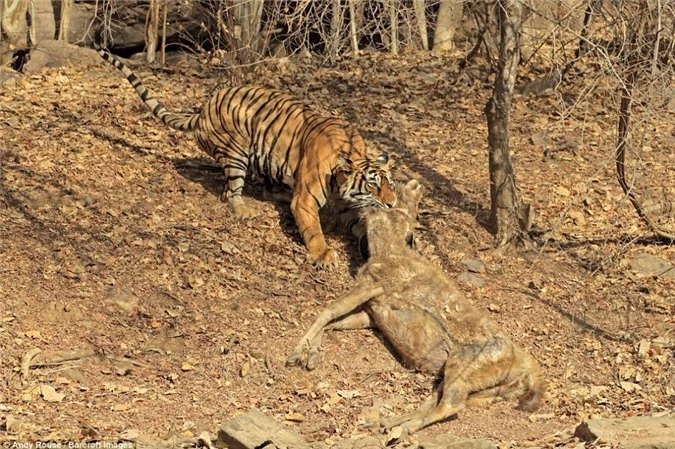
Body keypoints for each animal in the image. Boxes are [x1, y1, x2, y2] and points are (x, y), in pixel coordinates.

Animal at [95, 47, 396, 268]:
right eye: (373, 185)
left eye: (389, 184)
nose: (392, 204)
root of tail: (203, 108)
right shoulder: (306, 199)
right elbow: (314, 230)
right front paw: (323, 255)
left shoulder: (348, 205)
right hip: (236, 152)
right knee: (231, 192)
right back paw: (244, 211)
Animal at [288, 178, 548, 434]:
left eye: (390, 185)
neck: (383, 248)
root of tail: (529, 369)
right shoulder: (372, 314)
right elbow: (334, 322)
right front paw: (311, 355)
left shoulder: (372, 283)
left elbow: (328, 311)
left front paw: (295, 354)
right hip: (486, 388)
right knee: (437, 400)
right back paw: (388, 425)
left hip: (463, 364)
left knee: (452, 405)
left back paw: (403, 428)